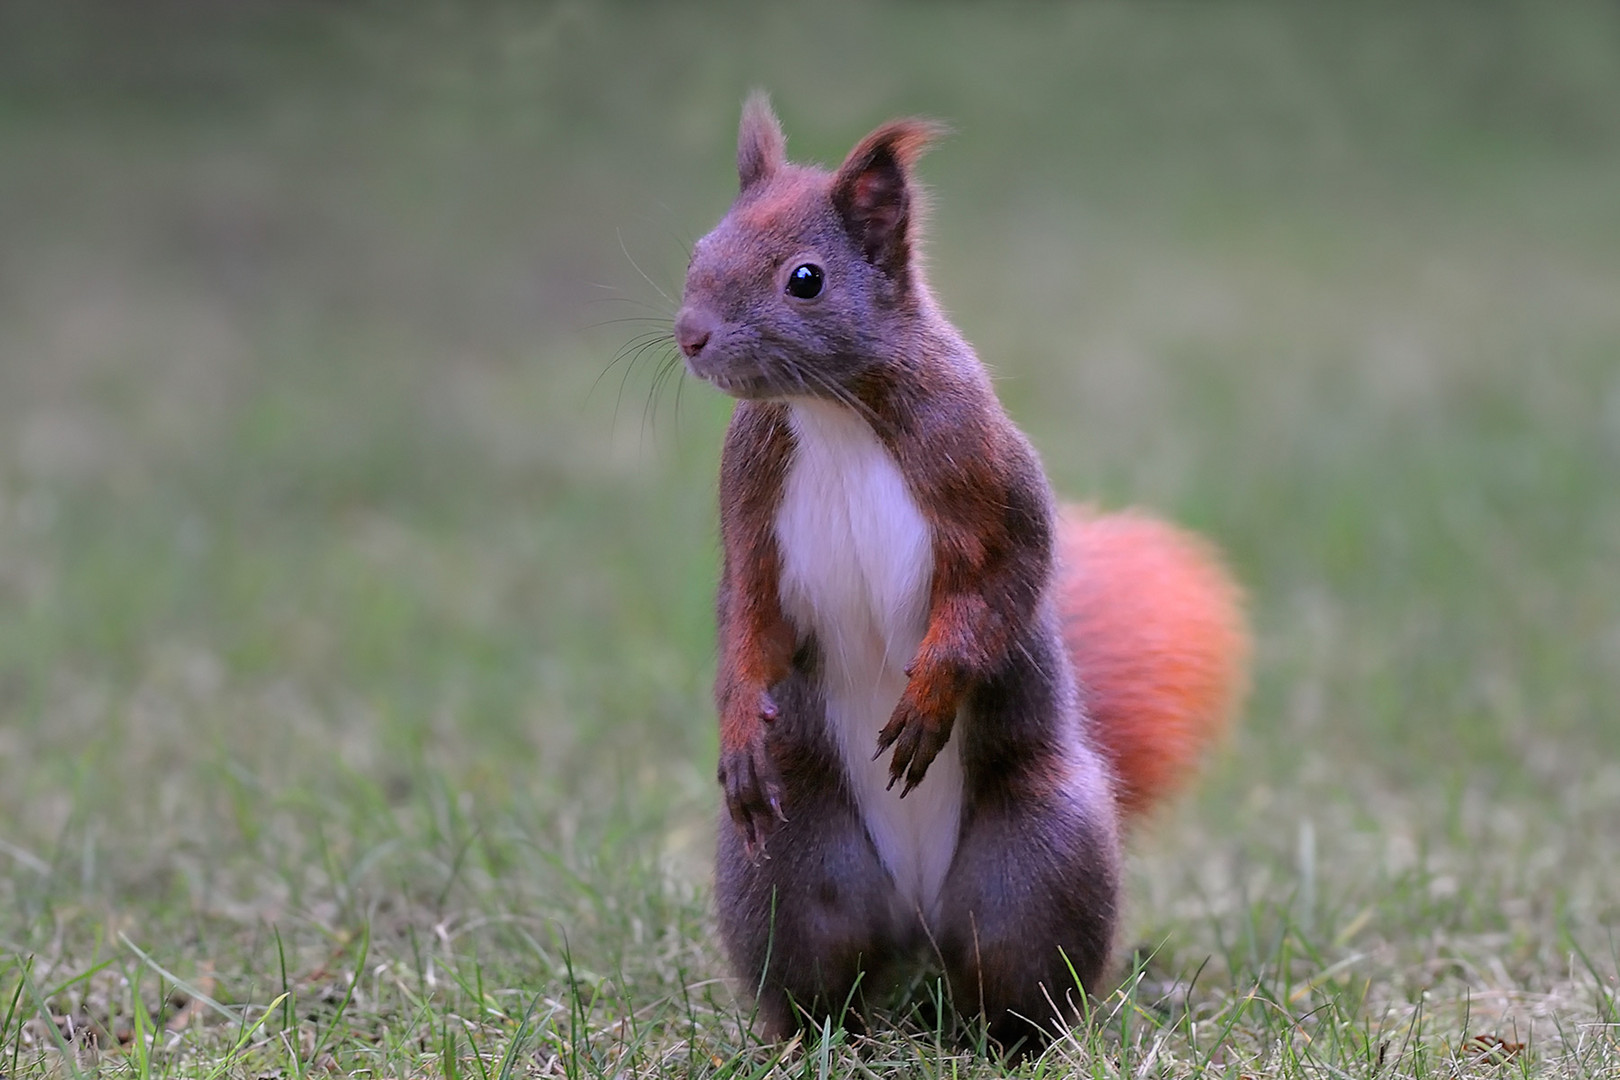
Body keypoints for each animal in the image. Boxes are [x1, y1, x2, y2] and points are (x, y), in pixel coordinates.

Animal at [670, 95, 1250, 1055]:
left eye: (805, 279)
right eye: (698, 250)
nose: (690, 336)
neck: (833, 411)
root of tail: (915, 921)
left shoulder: (982, 468)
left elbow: (1002, 586)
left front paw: (930, 699)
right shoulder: (747, 507)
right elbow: (746, 618)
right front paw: (739, 729)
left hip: (1036, 865)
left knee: (1019, 977)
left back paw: (1019, 1044)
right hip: (790, 868)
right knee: (822, 973)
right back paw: (813, 1040)